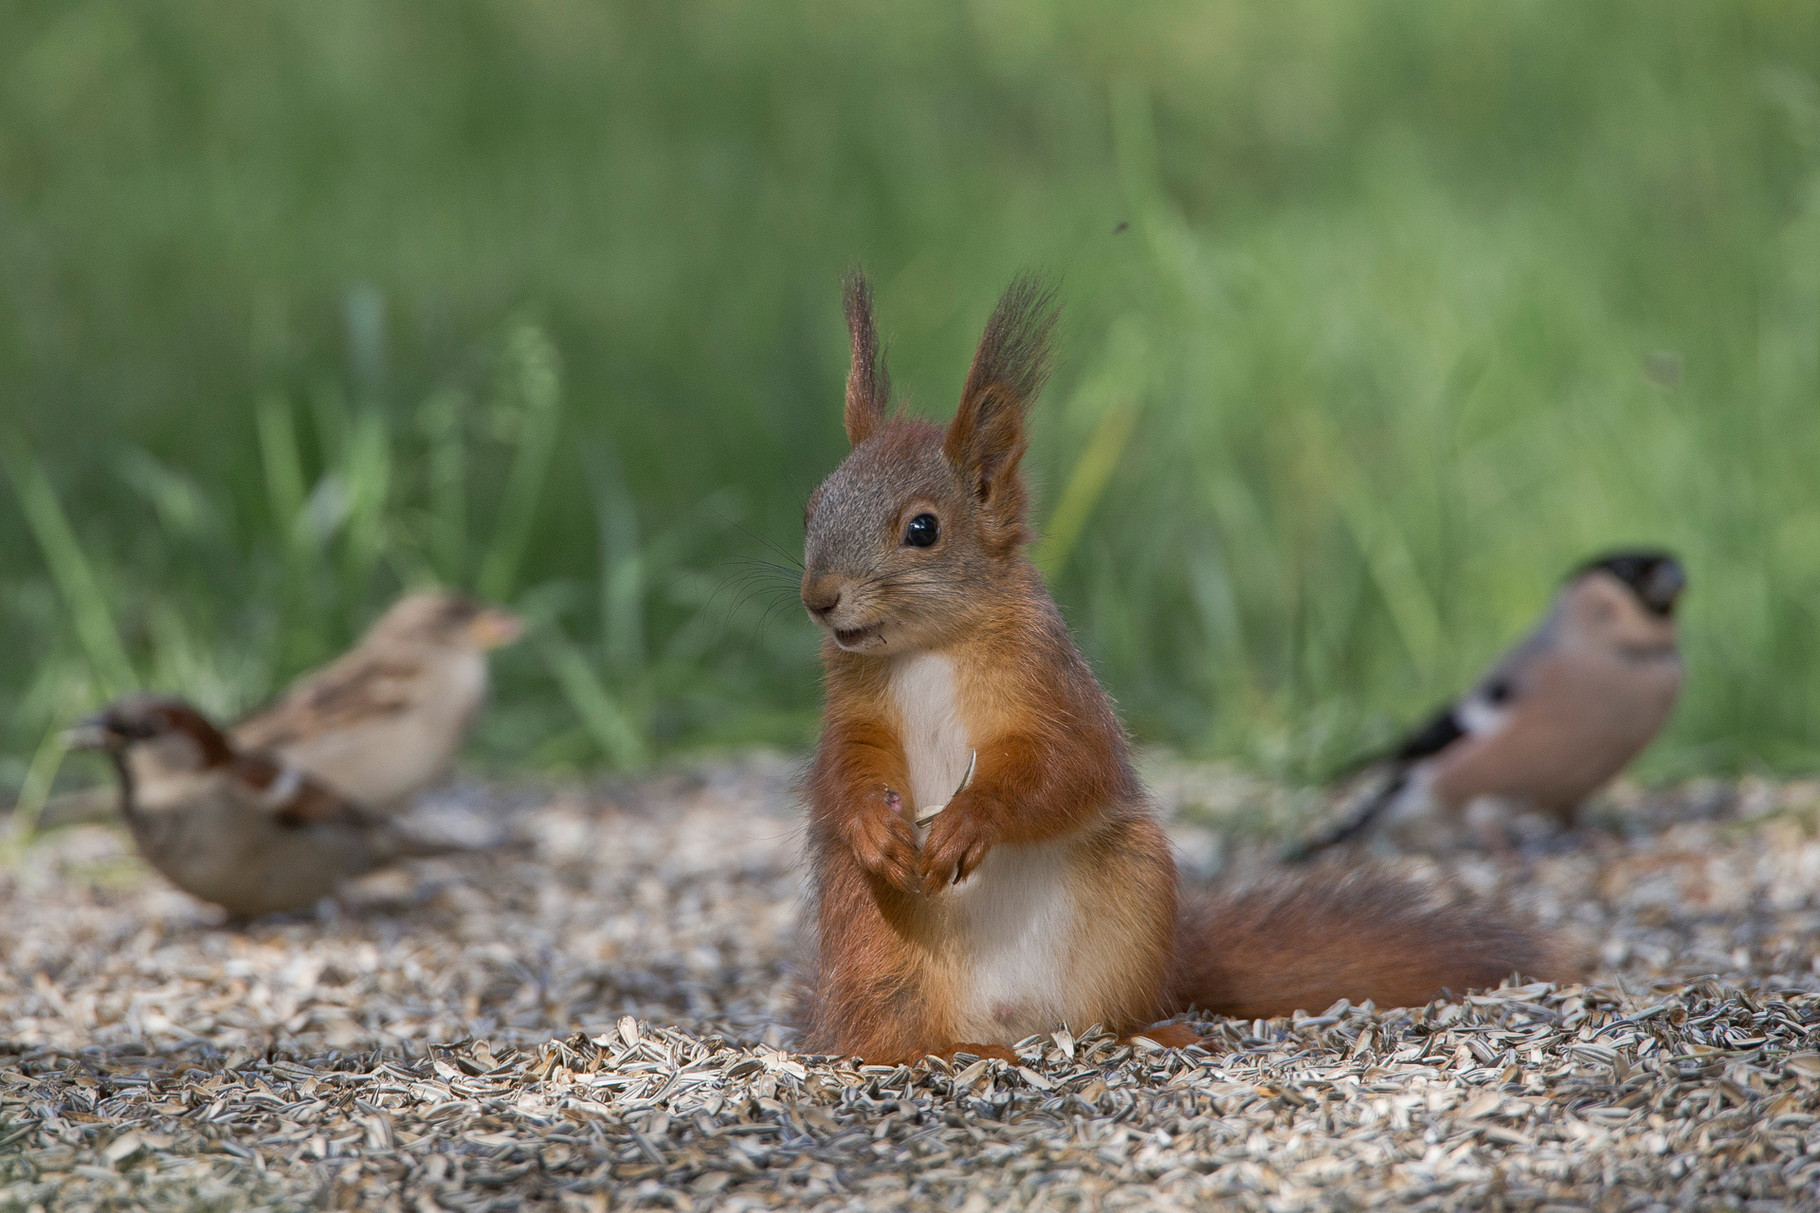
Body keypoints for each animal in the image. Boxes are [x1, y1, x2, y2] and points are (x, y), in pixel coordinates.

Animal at [793, 273, 1568, 1065]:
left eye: (923, 529)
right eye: (812, 505)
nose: (819, 599)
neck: (926, 650)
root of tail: (1014, 1022)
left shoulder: (1054, 688)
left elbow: (1067, 767)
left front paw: (968, 819)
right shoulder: (857, 712)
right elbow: (844, 769)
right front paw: (871, 824)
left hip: (1132, 897)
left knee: (1107, 1010)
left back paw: (1144, 1029)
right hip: (871, 937)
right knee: (888, 1033)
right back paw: (944, 1049)